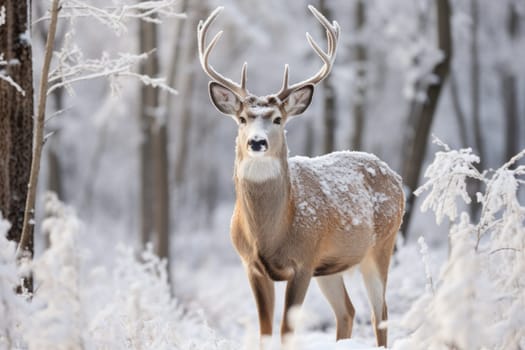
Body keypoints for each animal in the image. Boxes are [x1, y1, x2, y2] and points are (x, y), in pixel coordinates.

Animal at [198, 5, 406, 348]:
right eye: (242, 118)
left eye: (278, 119)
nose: (257, 142)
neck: (271, 233)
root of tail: (396, 177)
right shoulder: (252, 266)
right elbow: (265, 331)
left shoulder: (304, 261)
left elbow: (286, 331)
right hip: (332, 265)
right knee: (347, 311)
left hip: (382, 245)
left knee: (382, 315)